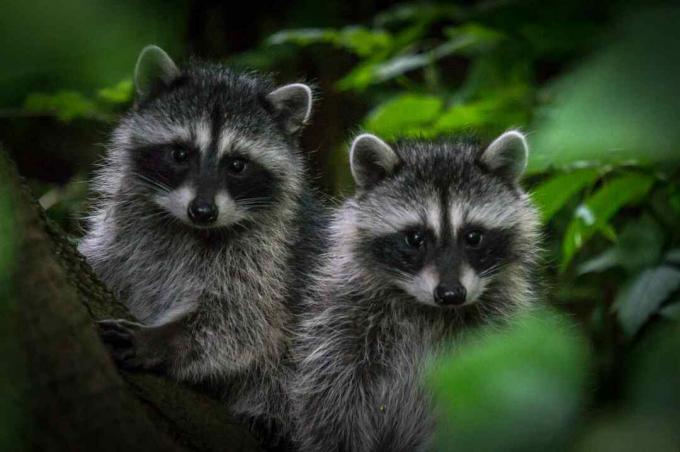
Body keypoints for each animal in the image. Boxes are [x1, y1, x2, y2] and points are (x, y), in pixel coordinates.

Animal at [79, 46, 324, 434]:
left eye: (237, 164)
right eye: (180, 153)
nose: (203, 211)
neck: (187, 228)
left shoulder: (268, 260)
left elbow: (241, 323)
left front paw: (161, 341)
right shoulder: (125, 232)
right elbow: (106, 261)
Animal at [290, 132, 540, 452]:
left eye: (473, 236)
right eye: (414, 238)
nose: (450, 294)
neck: (428, 311)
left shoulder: (497, 327)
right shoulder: (345, 319)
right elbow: (332, 394)